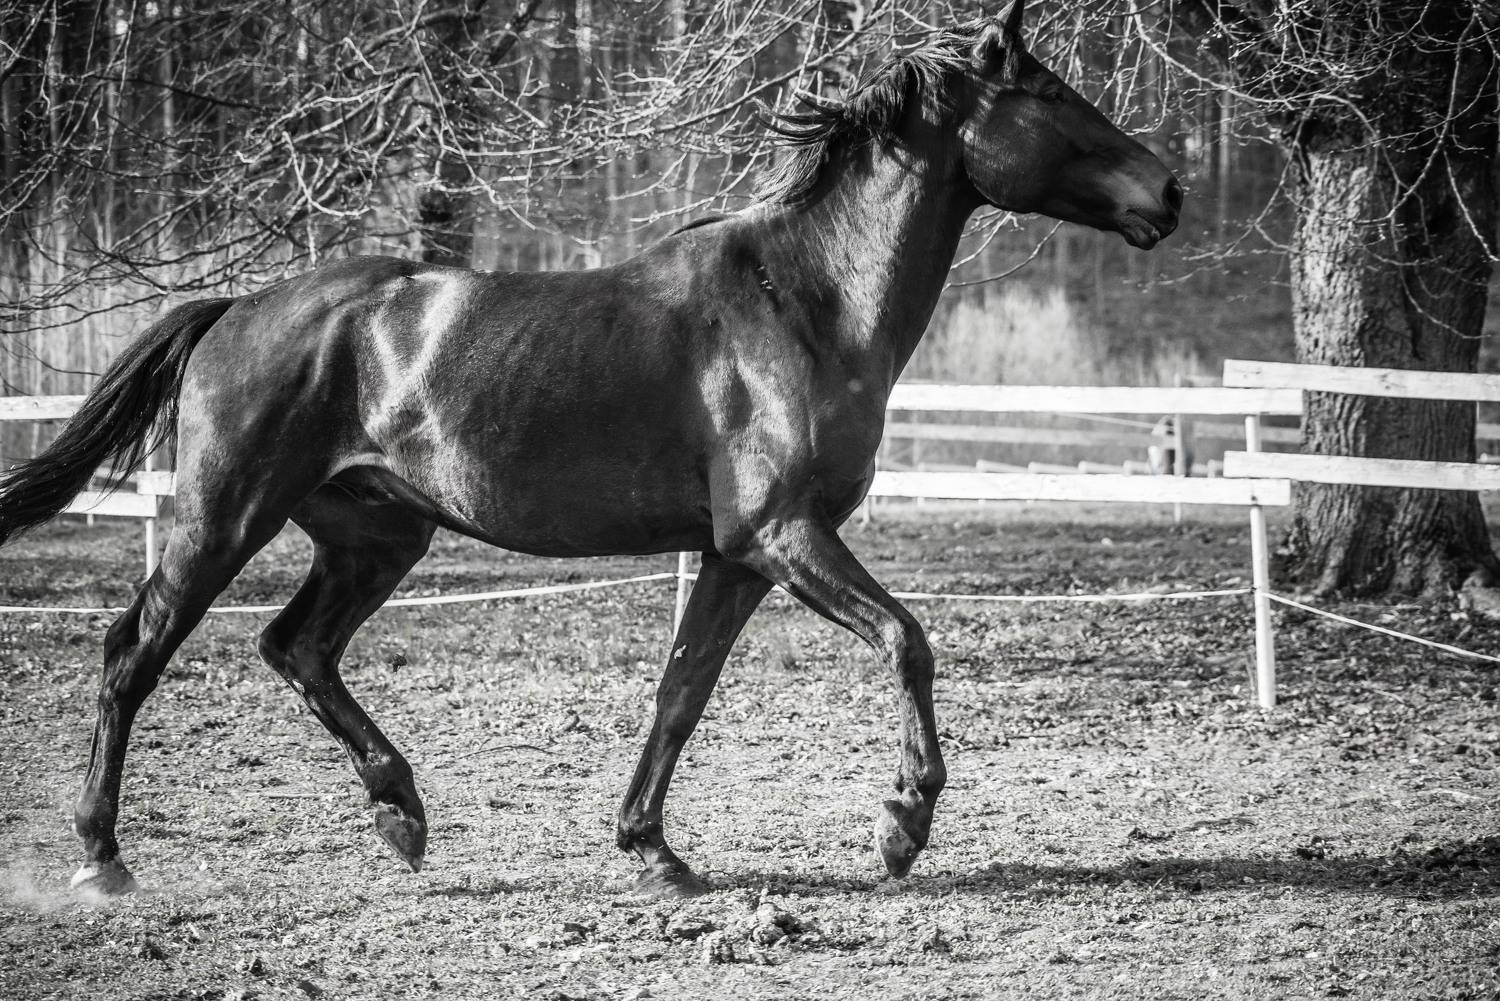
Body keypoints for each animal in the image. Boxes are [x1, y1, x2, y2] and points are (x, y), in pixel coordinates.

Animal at [0, 2, 1179, 899]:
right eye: (1054, 97)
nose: (1166, 193)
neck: (804, 302)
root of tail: (238, 307)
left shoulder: (738, 556)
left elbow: (680, 691)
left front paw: (652, 849)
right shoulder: (784, 533)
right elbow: (907, 640)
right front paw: (901, 823)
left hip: (377, 535)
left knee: (297, 647)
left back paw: (402, 811)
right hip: (220, 520)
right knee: (133, 653)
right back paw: (103, 857)